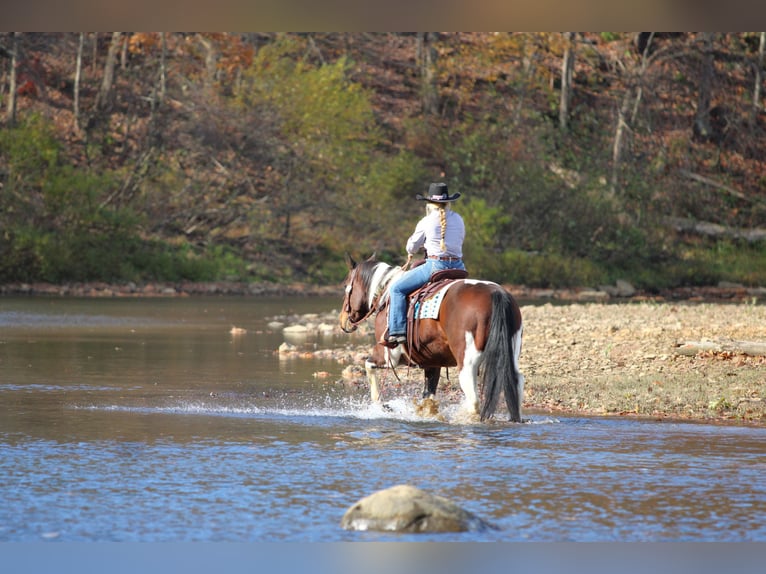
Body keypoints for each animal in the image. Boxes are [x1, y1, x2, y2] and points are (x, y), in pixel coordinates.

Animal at [338, 254, 525, 422]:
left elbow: (368, 366)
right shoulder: (432, 363)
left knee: (473, 400)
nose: (344, 320)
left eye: (347, 285)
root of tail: (496, 293)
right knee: (516, 383)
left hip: (467, 363)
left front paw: (381, 405)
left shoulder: (388, 355)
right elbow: (428, 395)